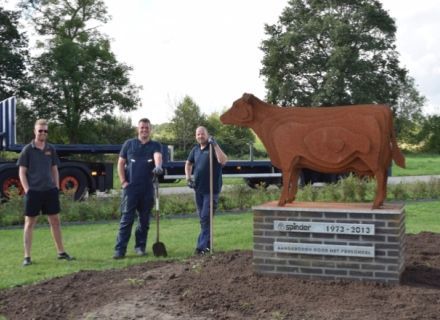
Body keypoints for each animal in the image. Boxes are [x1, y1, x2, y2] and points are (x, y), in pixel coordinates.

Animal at [220, 93, 406, 208]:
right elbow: (293, 180)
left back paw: (375, 204)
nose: (221, 117)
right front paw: (290, 200)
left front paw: (281, 202)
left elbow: (286, 179)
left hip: (373, 157)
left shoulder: (286, 158)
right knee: (384, 177)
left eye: (236, 105)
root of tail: (383, 108)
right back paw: (380, 203)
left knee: (381, 175)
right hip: (383, 156)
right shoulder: (297, 160)